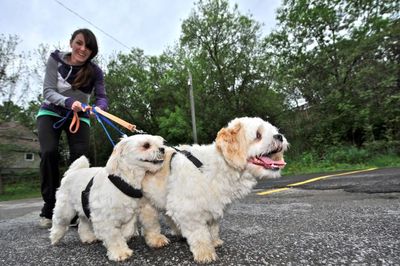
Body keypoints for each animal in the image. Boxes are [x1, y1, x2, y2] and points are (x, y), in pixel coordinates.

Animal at [142, 117, 290, 264]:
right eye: (258, 135)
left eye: (274, 131)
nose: (279, 136)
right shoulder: (189, 210)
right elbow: (199, 234)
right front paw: (205, 253)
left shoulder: (213, 206)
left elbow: (212, 228)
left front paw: (214, 242)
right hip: (147, 207)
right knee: (150, 225)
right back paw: (156, 239)